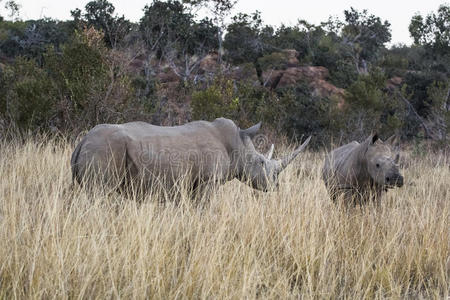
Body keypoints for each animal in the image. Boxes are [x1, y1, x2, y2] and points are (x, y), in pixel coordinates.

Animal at [72, 117, 312, 195]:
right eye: (260, 162)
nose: (275, 186)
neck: (238, 144)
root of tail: (83, 141)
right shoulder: (208, 181)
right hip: (105, 149)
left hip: (96, 148)